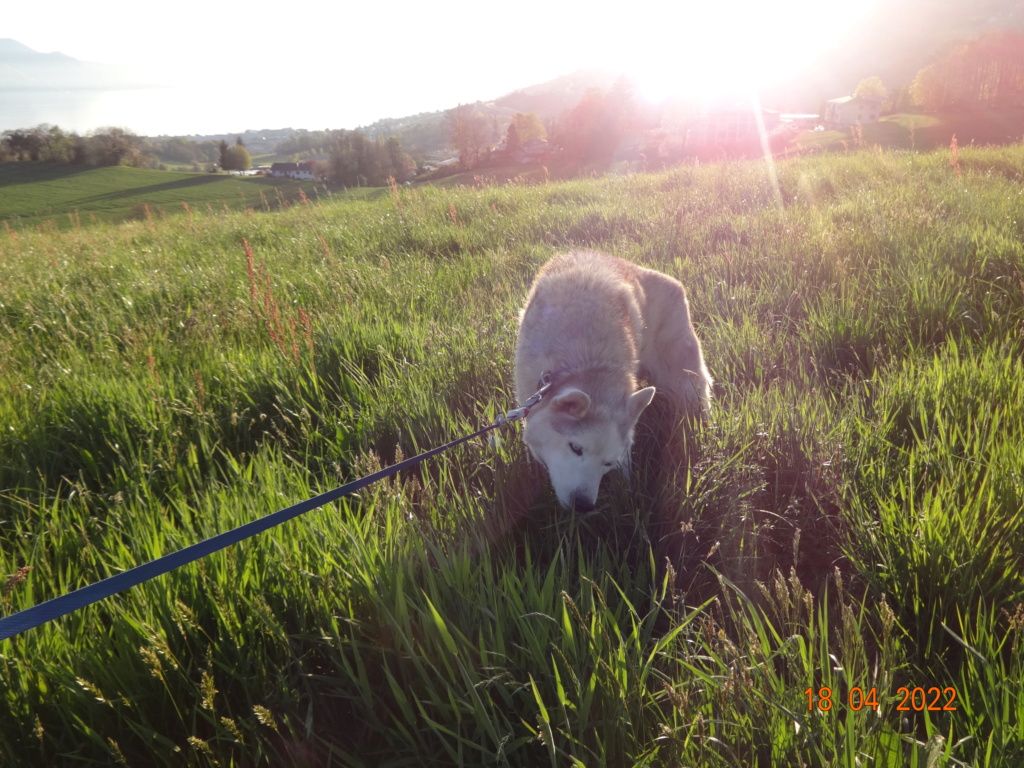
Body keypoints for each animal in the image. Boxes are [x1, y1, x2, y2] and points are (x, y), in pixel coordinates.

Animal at [512, 250, 712, 512]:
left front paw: (626, 494)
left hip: (682, 379)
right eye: (575, 448)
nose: (583, 506)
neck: (585, 364)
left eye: (607, 463)